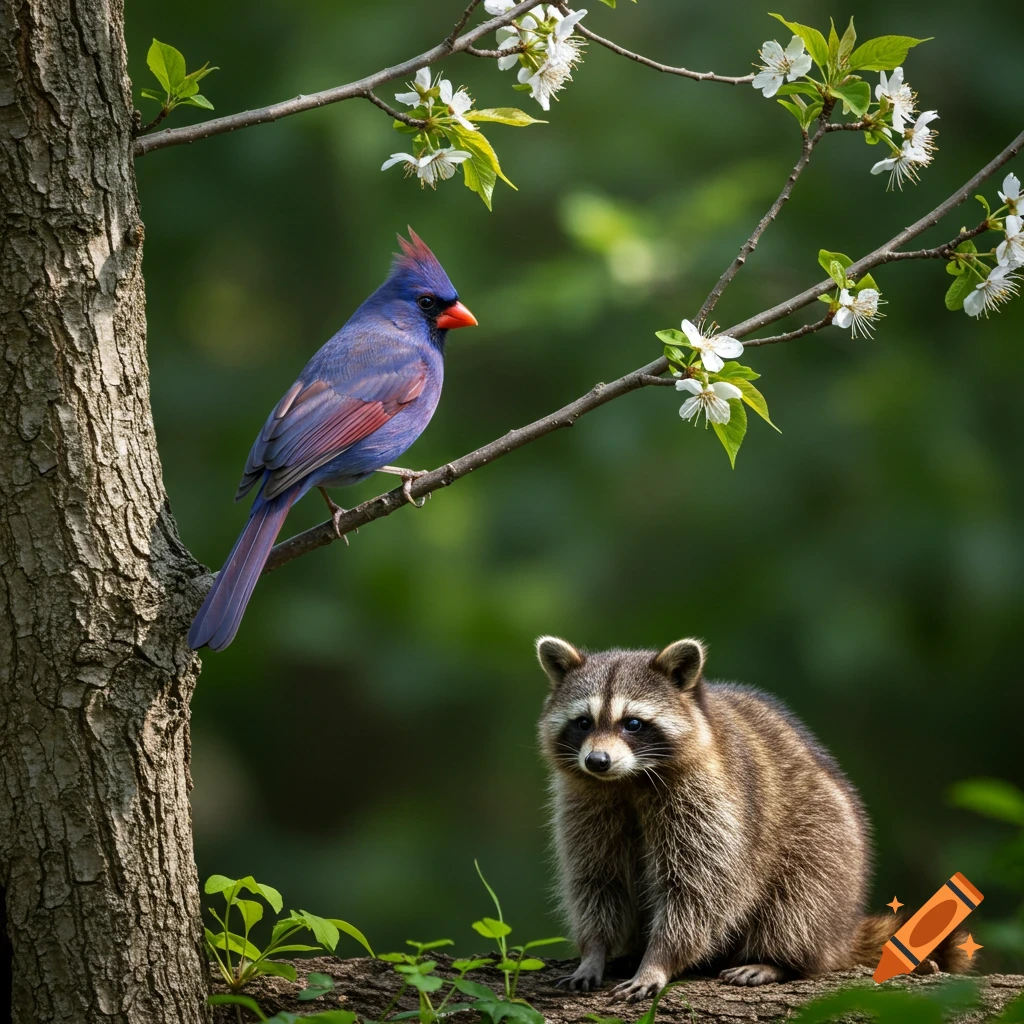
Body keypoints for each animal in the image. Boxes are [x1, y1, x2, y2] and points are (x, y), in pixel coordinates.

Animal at [535, 636, 968, 1001]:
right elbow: (596, 879)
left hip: (828, 843)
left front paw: (658, 959)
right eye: (584, 722)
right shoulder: (587, 804)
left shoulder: (711, 802)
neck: (628, 782)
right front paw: (595, 950)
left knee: (800, 900)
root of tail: (839, 934)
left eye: (633, 723)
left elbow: (698, 890)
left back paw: (777, 960)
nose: (597, 761)